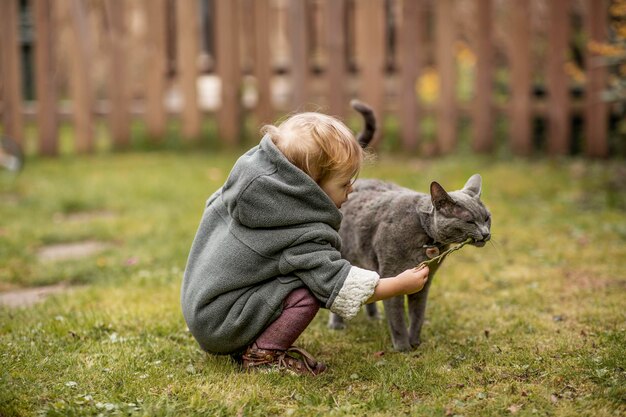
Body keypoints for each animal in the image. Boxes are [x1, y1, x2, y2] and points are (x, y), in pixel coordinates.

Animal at [334, 103, 490, 348]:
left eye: (486, 218)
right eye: (469, 221)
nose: (485, 234)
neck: (426, 238)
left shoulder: (425, 284)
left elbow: (418, 314)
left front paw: (416, 343)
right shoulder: (393, 275)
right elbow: (397, 316)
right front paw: (403, 348)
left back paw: (374, 318)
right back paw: (338, 326)